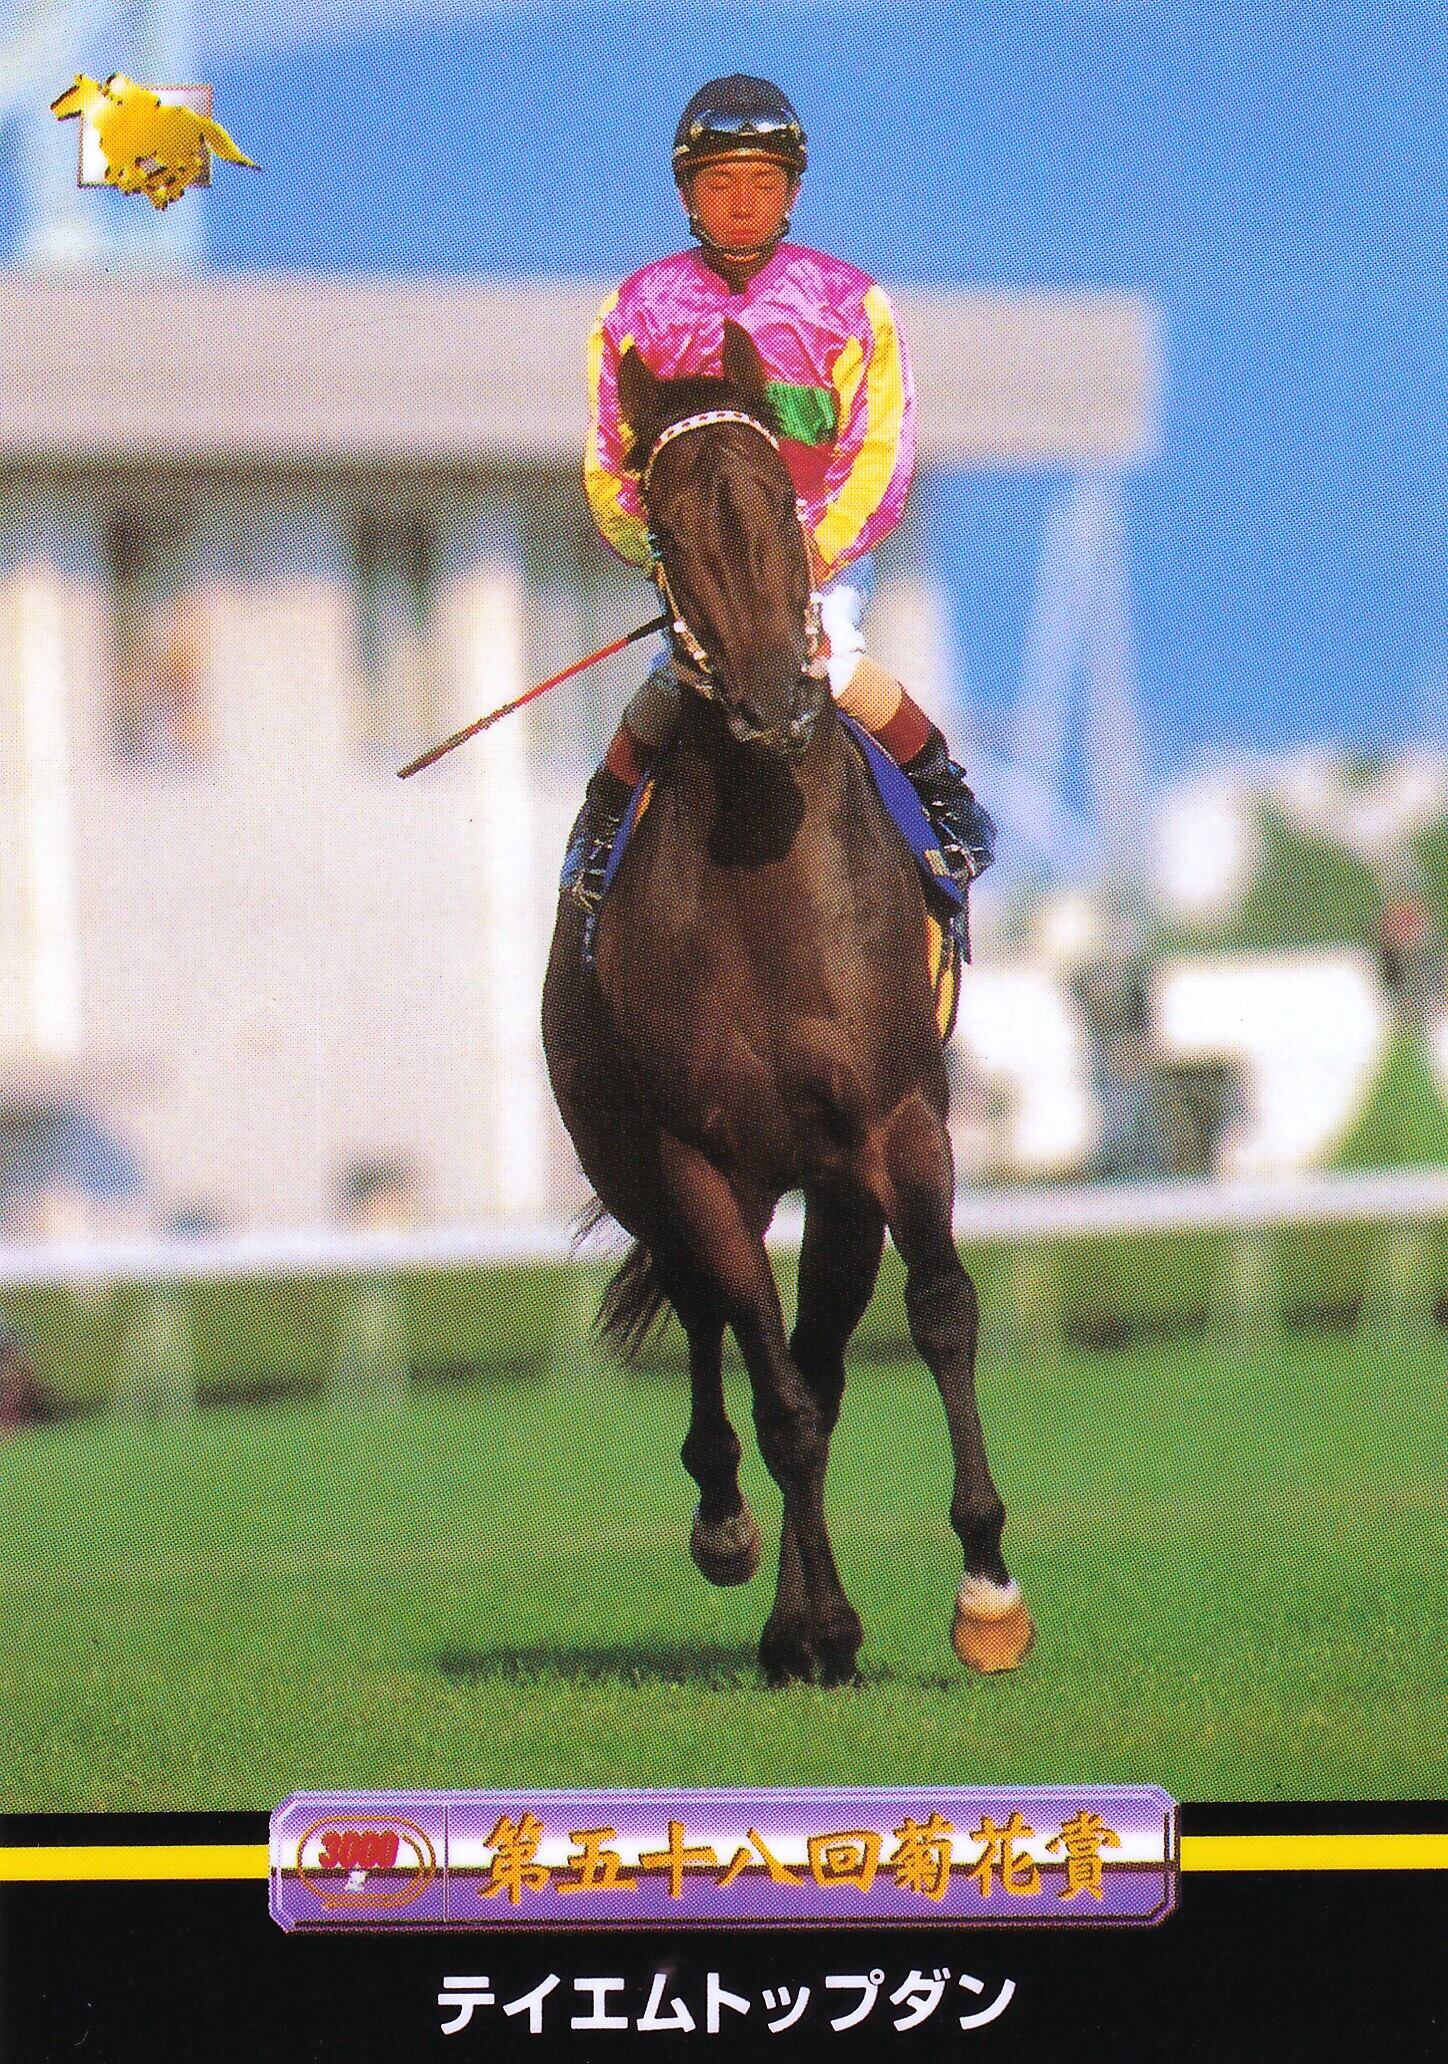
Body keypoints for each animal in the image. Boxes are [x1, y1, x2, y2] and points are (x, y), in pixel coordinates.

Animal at [542, 321, 1034, 1686]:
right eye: (662, 523)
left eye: (774, 501)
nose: (770, 700)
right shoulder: (694, 1154)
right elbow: (781, 1400)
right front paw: (811, 1626)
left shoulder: (891, 1123)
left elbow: (937, 1316)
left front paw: (985, 1589)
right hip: (647, 1164)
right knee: (717, 1319)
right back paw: (728, 1529)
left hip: (829, 1181)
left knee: (815, 1340)